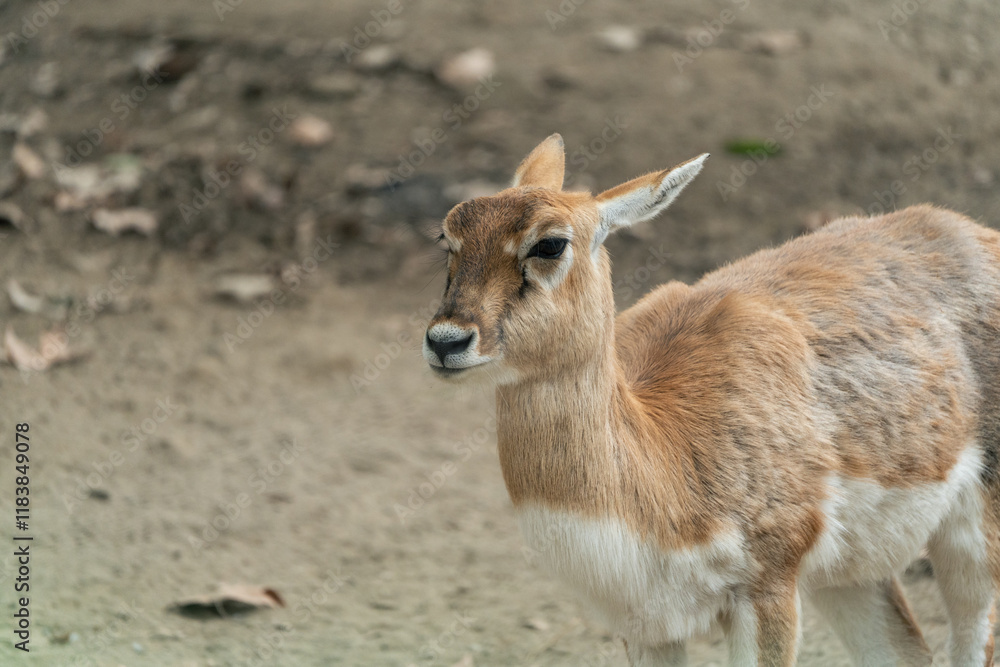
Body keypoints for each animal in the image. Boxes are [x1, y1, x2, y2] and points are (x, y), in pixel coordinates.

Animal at [421, 133, 1000, 666]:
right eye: (447, 237)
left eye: (550, 244)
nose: (446, 341)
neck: (664, 465)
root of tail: (970, 230)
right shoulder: (646, 624)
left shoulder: (767, 586)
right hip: (848, 575)